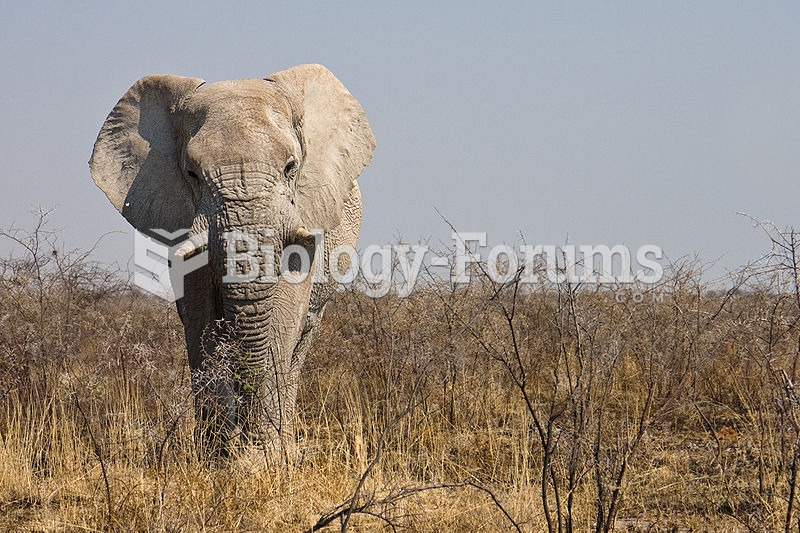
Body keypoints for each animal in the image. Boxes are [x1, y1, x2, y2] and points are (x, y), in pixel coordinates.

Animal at [89, 65, 376, 458]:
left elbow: (283, 316)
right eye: (192, 173)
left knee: (301, 339)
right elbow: (200, 319)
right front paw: (219, 457)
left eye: (291, 168)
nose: (247, 439)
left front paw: (265, 458)